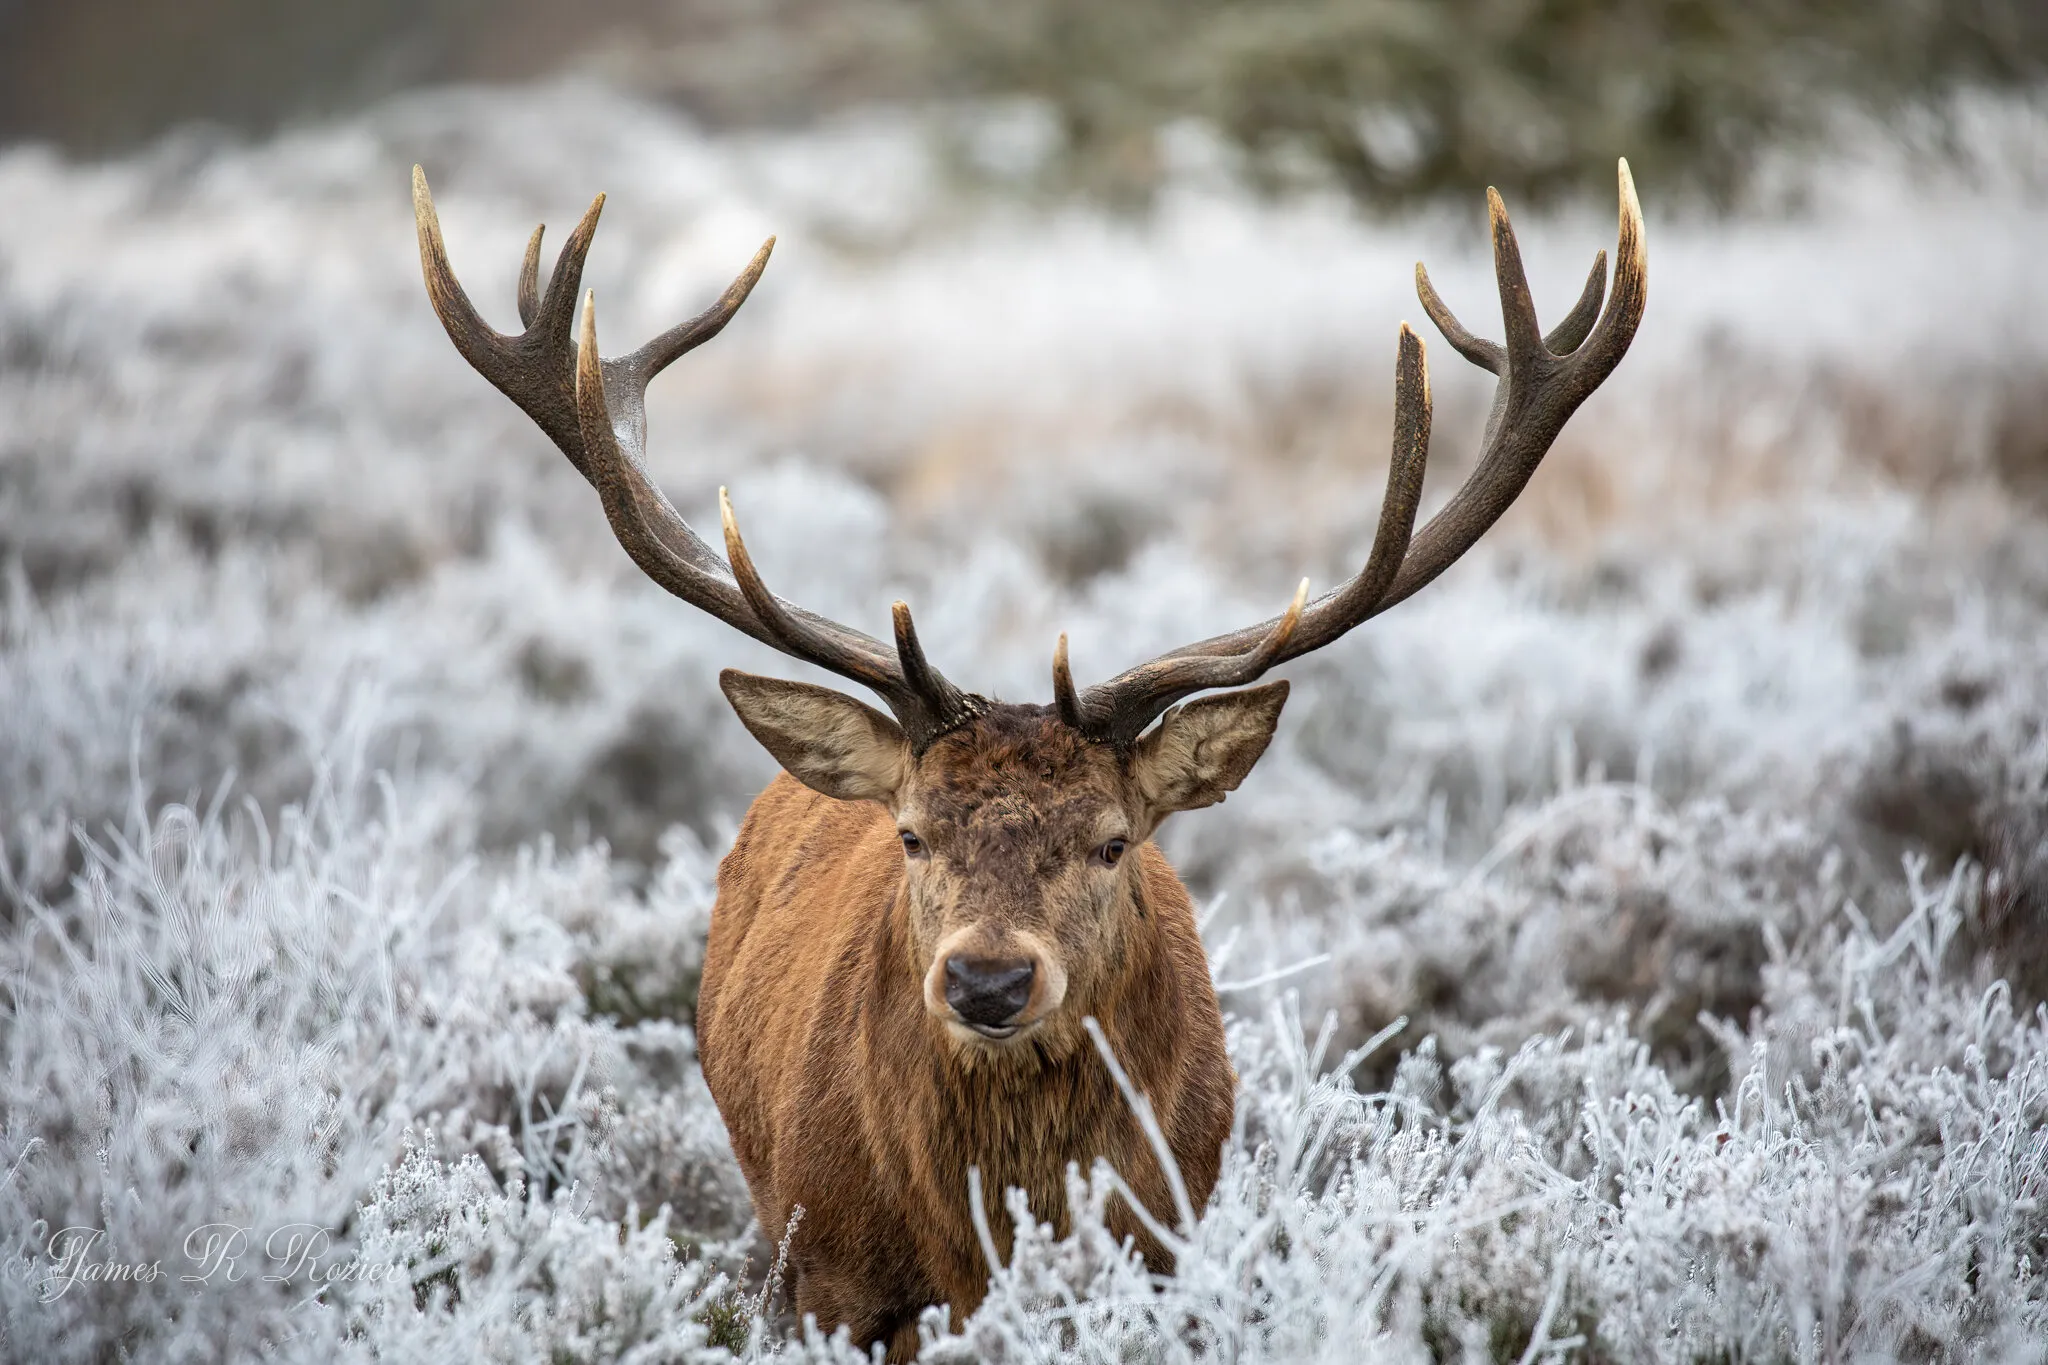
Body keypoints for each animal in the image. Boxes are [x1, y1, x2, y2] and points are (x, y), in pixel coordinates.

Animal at [412, 159, 1645, 1360]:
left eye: (1111, 842)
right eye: (913, 835)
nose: (989, 982)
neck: (990, 1233)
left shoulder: (1168, 1243)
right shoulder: (831, 1277)